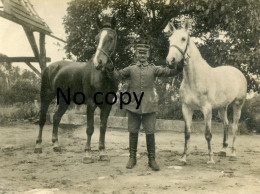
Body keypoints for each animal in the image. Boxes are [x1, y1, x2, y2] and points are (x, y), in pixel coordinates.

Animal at [34, 16, 118, 161]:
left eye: (111, 38)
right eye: (97, 38)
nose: (98, 62)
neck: (102, 76)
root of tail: (49, 68)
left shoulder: (107, 105)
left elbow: (103, 127)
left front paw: (102, 152)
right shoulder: (91, 103)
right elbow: (90, 128)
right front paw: (87, 153)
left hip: (64, 101)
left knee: (56, 118)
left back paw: (56, 145)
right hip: (46, 96)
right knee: (43, 119)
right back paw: (38, 146)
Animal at [166, 21, 247, 164]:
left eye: (183, 39)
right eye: (170, 40)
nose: (171, 61)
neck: (194, 79)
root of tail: (238, 72)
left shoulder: (207, 109)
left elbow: (208, 134)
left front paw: (210, 159)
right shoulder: (186, 108)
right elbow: (187, 134)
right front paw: (183, 158)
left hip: (238, 104)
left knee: (235, 126)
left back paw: (232, 152)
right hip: (222, 107)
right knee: (226, 124)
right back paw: (223, 150)